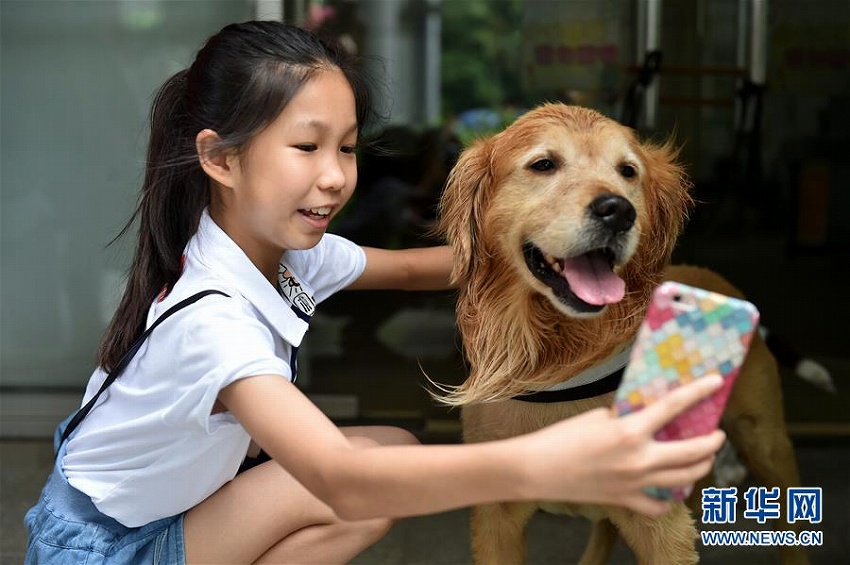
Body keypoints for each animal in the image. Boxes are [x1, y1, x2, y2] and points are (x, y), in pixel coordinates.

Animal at [438, 103, 800, 560]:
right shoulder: (494, 515)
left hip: (764, 439)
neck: (564, 363)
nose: (618, 210)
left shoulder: (663, 526)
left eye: (628, 171)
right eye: (543, 164)